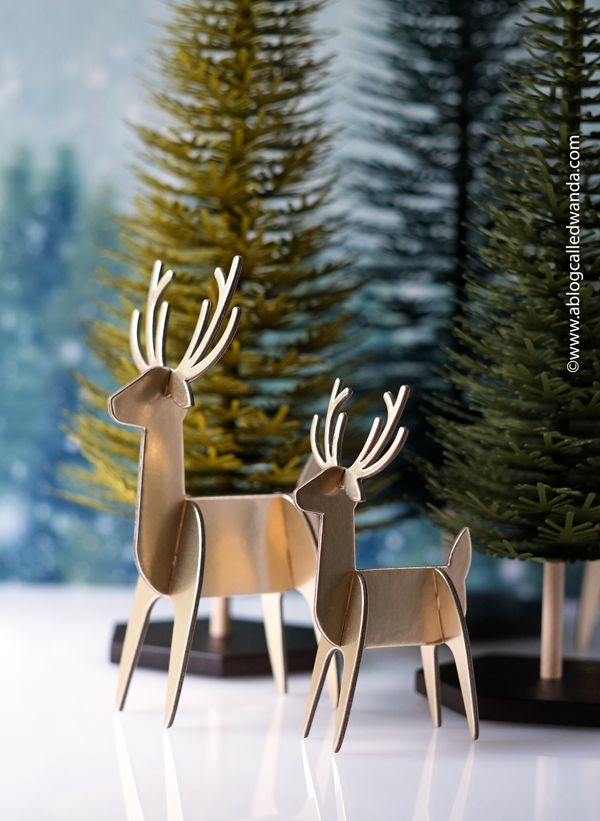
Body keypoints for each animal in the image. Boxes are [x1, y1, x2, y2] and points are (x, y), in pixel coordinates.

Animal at [109, 256, 337, 728]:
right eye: (140, 374)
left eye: (158, 387)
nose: (113, 401)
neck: (167, 529)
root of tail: (296, 500)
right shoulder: (144, 592)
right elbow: (127, 665)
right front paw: (117, 709)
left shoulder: (190, 593)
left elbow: (176, 672)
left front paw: (166, 726)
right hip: (271, 583)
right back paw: (284, 691)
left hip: (310, 577)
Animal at [294, 379, 479, 751]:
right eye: (321, 473)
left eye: (336, 484)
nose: (297, 494)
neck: (344, 587)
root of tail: (451, 570)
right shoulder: (327, 646)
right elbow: (312, 697)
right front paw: (304, 737)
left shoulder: (355, 644)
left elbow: (344, 706)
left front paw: (334, 749)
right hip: (429, 637)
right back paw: (437, 725)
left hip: (458, 631)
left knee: (467, 678)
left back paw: (474, 737)